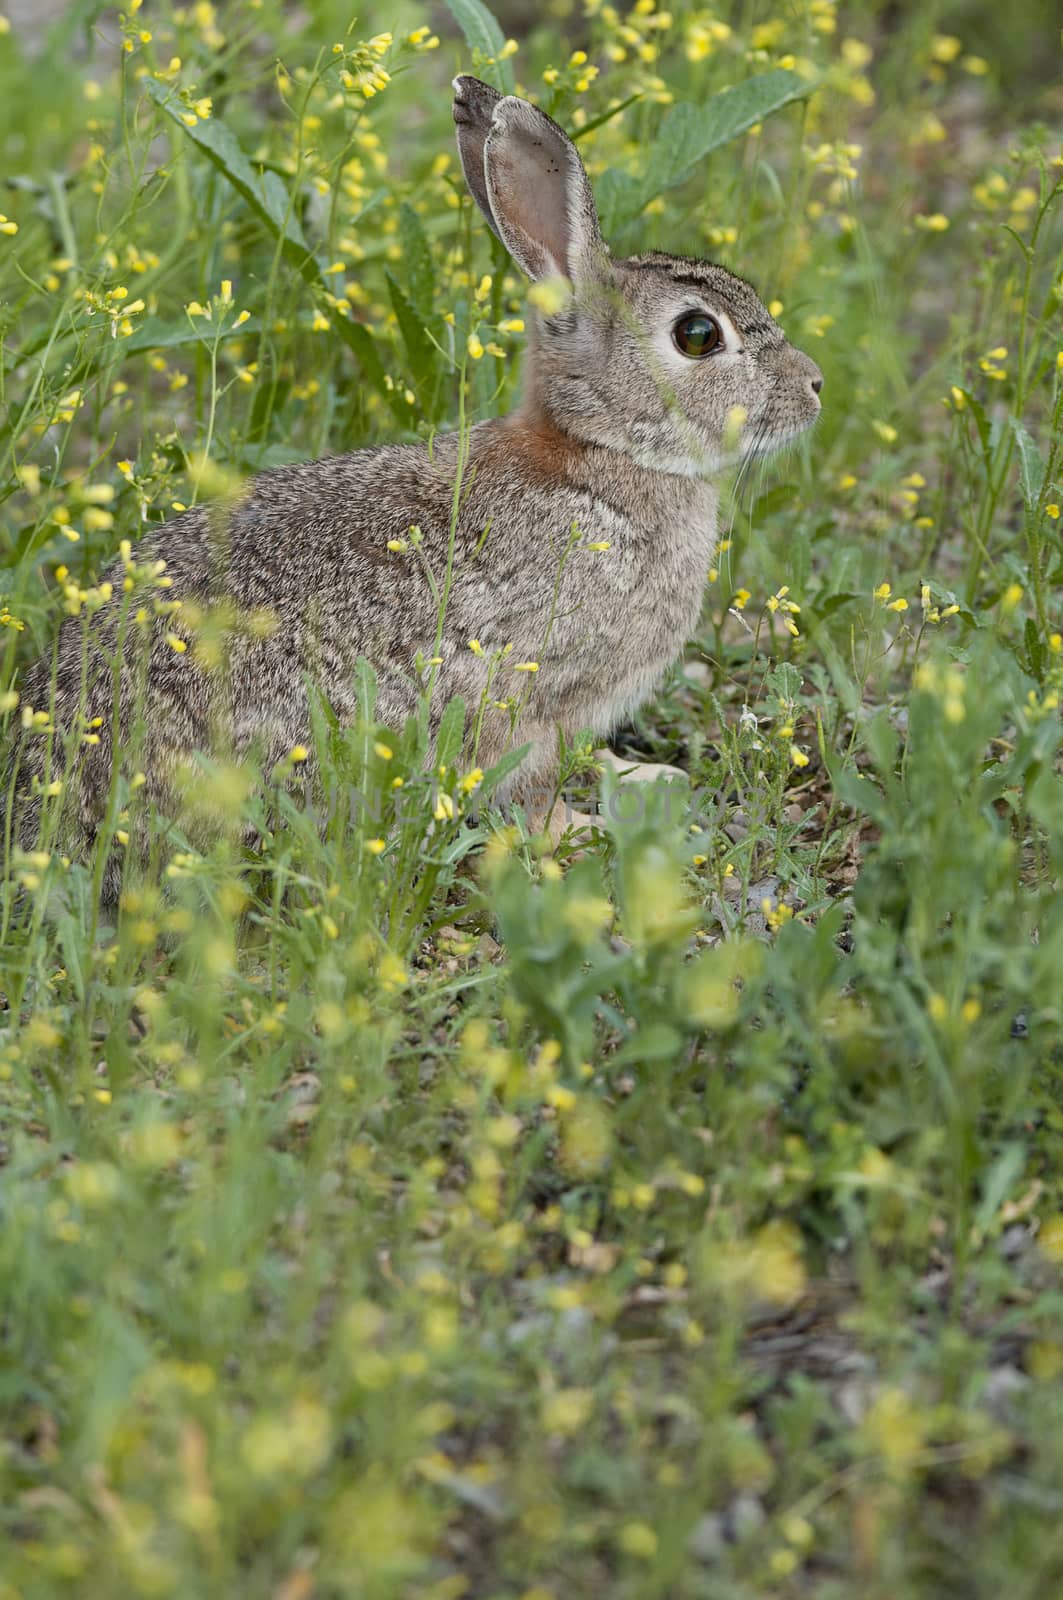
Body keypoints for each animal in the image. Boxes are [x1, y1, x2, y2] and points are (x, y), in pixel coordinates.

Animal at [8, 75, 819, 902]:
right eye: (697, 335)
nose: (815, 386)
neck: (601, 452)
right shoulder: (535, 697)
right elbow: (532, 788)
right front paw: (582, 829)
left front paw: (640, 776)